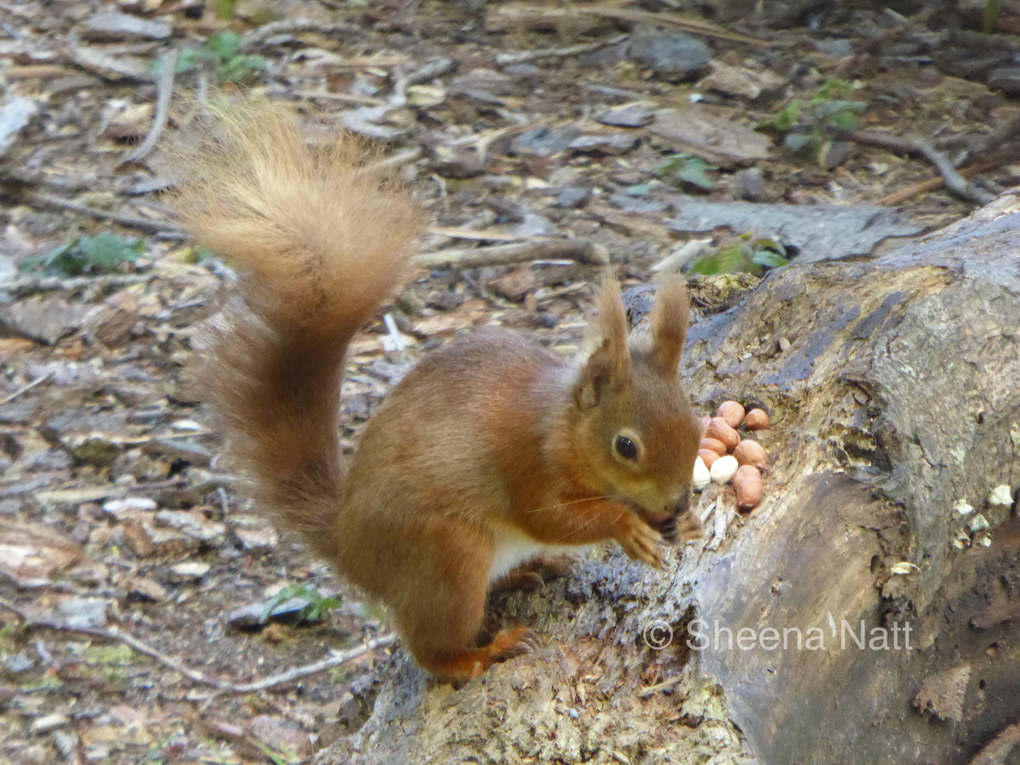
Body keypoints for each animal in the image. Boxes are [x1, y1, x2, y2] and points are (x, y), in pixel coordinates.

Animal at [171, 102, 705, 681]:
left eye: (697, 425)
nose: (677, 501)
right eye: (626, 446)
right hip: (449, 554)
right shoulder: (528, 464)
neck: (562, 427)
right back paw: (482, 652)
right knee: (432, 650)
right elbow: (550, 517)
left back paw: (531, 568)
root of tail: (352, 546)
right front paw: (627, 526)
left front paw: (680, 522)